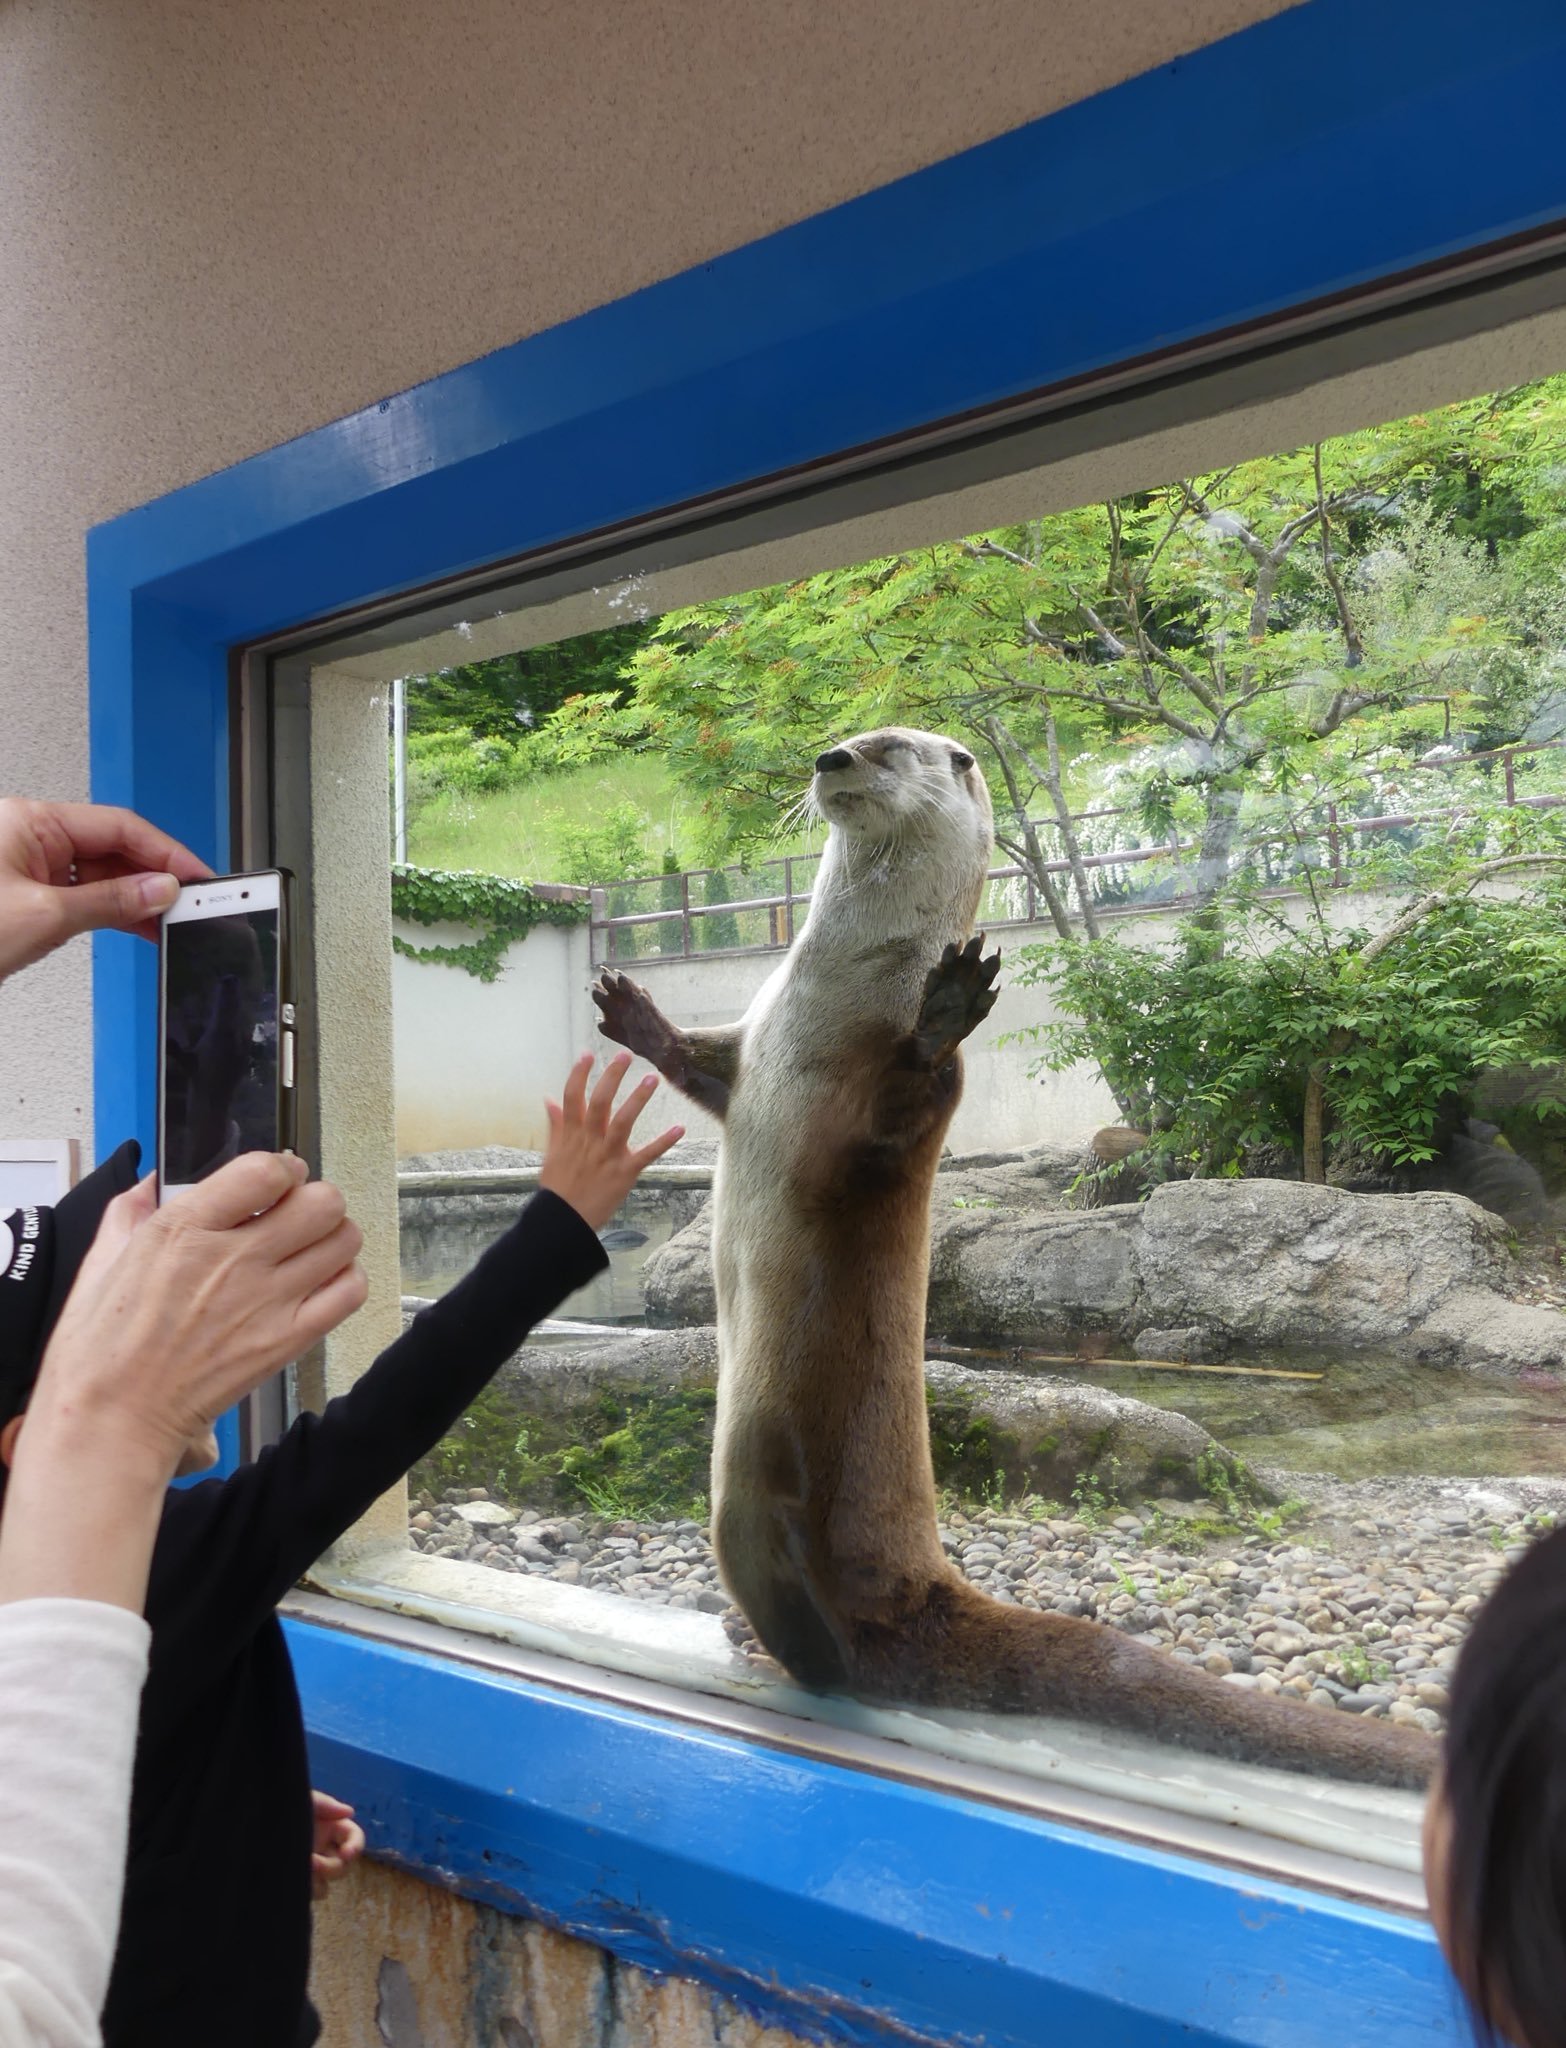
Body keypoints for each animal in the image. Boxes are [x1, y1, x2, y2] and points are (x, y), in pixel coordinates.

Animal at [593, 729, 1432, 1785]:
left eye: (891, 749)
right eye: (854, 737)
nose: (833, 756)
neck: (825, 998)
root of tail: (923, 1588)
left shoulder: (908, 1107)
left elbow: (915, 1093)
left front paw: (951, 1001)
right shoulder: (749, 1048)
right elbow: (696, 1067)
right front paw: (632, 1013)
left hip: (765, 1498)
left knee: (840, 1649)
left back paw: (783, 1659)